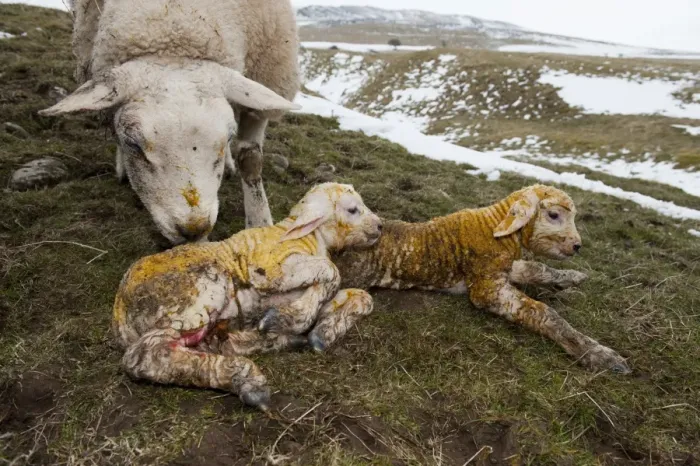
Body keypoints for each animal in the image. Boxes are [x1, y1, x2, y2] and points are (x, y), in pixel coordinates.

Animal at [39, 0, 302, 244]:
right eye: (133, 144)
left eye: (228, 136)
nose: (193, 230)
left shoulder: (264, 84)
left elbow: (250, 159)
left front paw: (260, 224)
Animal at [112, 183, 382, 411]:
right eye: (352, 209)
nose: (380, 226)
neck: (310, 238)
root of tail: (119, 312)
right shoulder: (271, 270)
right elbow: (331, 271)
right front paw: (289, 318)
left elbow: (362, 298)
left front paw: (321, 333)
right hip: (194, 297)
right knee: (146, 356)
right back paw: (247, 379)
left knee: (210, 344)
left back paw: (270, 340)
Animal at [333, 184, 631, 374]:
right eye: (554, 214)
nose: (577, 246)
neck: (495, 229)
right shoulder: (486, 287)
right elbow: (544, 312)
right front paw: (598, 354)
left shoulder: (504, 267)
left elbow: (537, 269)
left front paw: (572, 279)